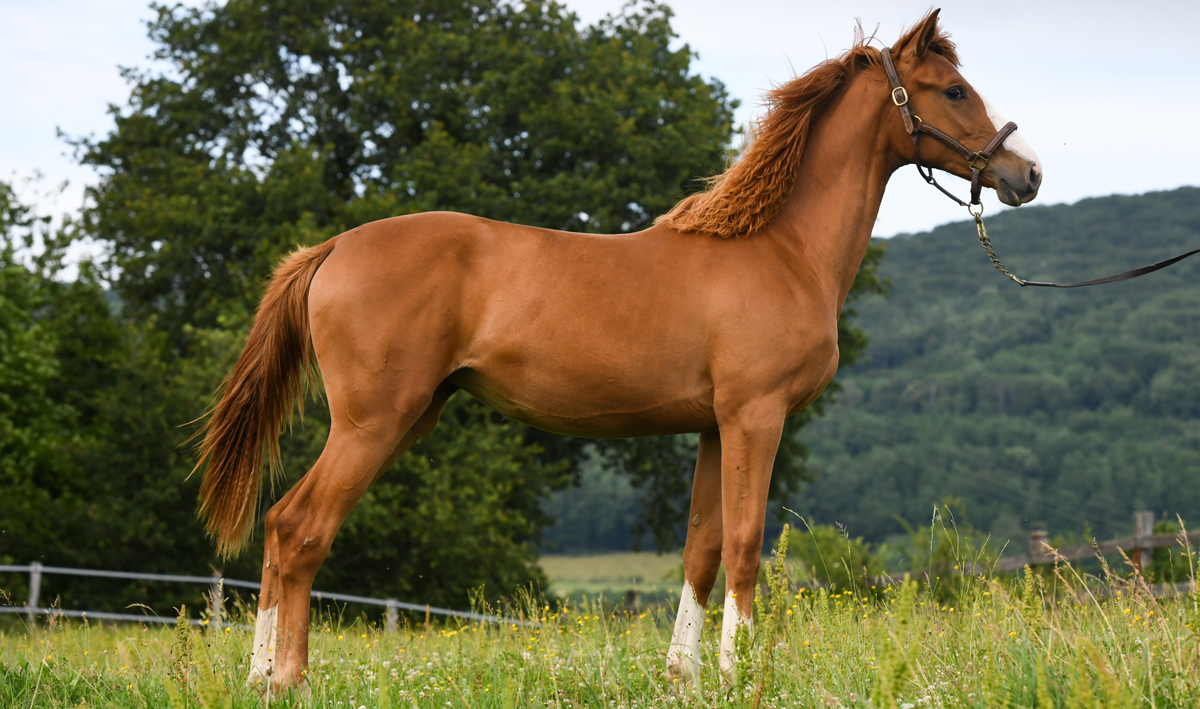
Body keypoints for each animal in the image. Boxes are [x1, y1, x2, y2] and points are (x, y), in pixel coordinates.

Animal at [196, 8, 1041, 691]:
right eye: (953, 90)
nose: (1026, 172)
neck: (779, 250)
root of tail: (334, 247)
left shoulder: (713, 426)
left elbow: (701, 550)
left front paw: (684, 677)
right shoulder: (756, 416)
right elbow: (743, 544)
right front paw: (740, 676)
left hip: (409, 416)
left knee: (280, 529)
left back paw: (259, 676)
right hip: (373, 421)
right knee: (299, 527)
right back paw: (287, 679)